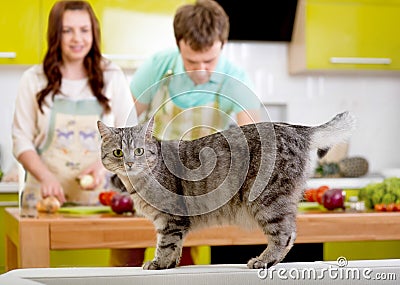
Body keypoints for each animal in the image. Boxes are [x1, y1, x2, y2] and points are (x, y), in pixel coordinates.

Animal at [98, 111, 354, 268]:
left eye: (138, 151)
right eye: (118, 152)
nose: (129, 163)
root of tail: (299, 129)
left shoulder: (170, 219)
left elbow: (166, 244)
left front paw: (159, 263)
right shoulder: (173, 222)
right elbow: (176, 246)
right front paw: (169, 264)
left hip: (268, 201)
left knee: (285, 235)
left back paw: (263, 260)